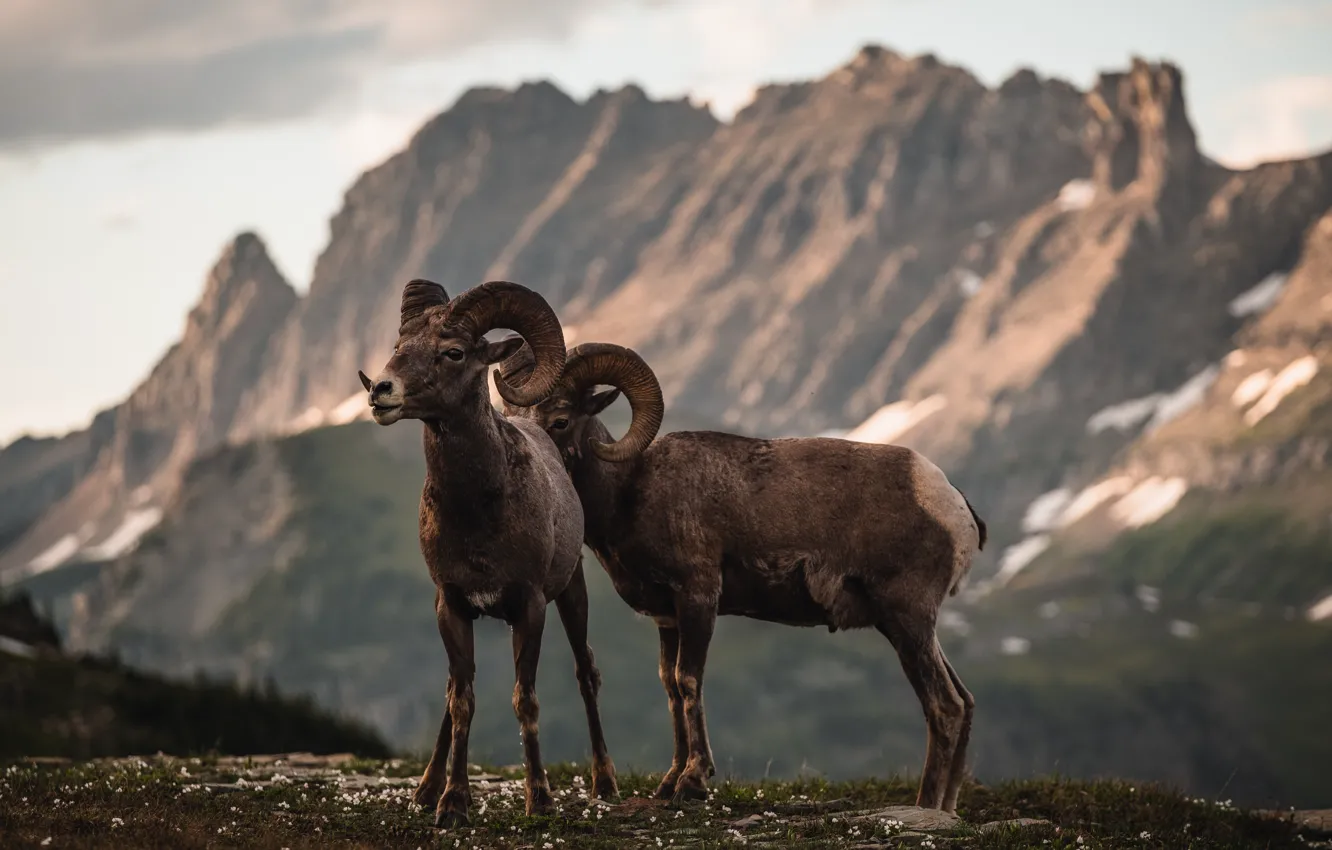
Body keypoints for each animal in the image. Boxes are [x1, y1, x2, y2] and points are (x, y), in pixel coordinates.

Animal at [359, 282, 618, 831]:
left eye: (454, 352)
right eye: (400, 344)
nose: (381, 392)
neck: (476, 512)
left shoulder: (530, 607)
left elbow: (525, 700)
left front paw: (538, 799)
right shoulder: (453, 605)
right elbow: (461, 703)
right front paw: (451, 803)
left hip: (573, 595)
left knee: (586, 674)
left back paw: (605, 783)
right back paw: (424, 789)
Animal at [503, 343, 985, 815]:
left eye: (560, 420)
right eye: (512, 414)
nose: (535, 459)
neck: (631, 490)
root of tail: (953, 504)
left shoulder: (698, 597)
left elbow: (688, 680)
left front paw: (693, 783)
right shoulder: (668, 617)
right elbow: (671, 687)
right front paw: (669, 782)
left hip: (908, 620)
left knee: (944, 706)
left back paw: (925, 806)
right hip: (908, 627)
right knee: (964, 701)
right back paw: (946, 808)